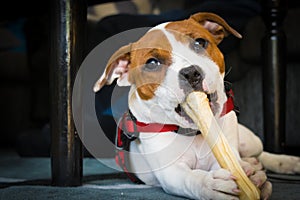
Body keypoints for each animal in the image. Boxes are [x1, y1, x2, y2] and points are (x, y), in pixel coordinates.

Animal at [94, 12, 300, 200]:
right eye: (152, 63)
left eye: (200, 42)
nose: (191, 73)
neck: (194, 132)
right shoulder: (171, 172)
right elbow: (190, 178)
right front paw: (210, 184)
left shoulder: (225, 154)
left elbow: (234, 164)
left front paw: (256, 180)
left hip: (250, 141)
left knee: (262, 154)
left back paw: (284, 162)